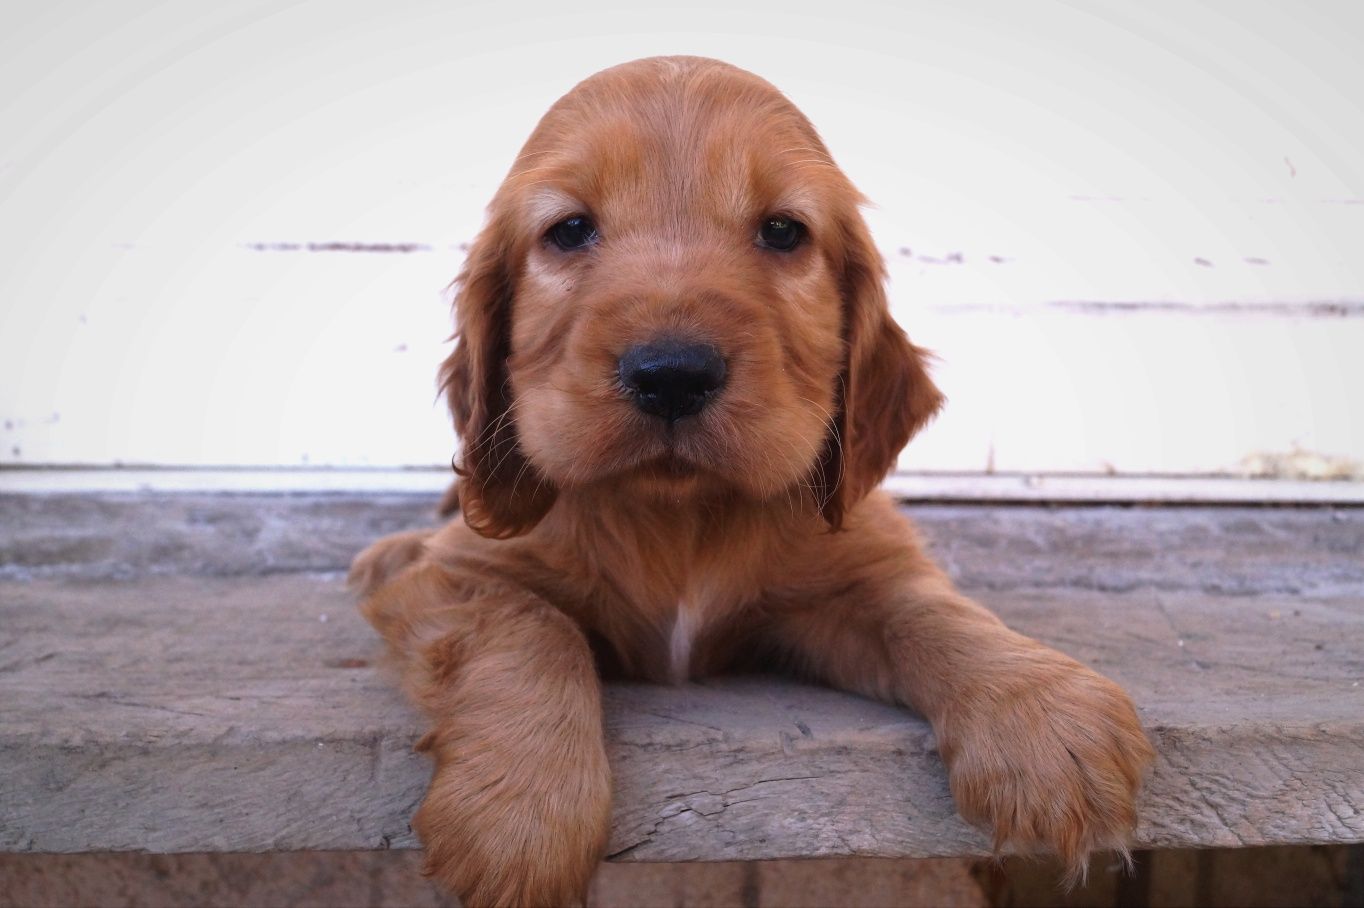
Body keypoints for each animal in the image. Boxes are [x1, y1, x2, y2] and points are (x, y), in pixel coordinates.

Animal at [351, 56, 1151, 905]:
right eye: (568, 229)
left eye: (782, 231)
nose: (672, 373)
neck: (680, 513)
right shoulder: (461, 575)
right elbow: (532, 626)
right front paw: (520, 816)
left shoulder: (853, 574)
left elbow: (932, 612)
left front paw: (1043, 721)